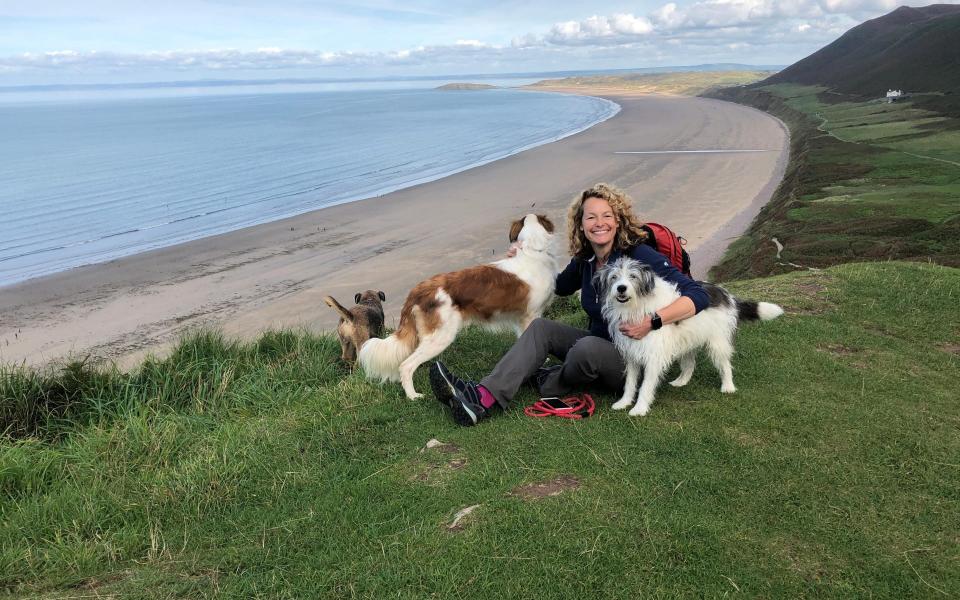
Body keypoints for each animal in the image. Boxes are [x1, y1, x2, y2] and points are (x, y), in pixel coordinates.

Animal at [360, 213, 560, 400]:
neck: (533, 251)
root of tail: (419, 289)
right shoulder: (531, 316)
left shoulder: (521, 319)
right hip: (440, 337)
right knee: (406, 365)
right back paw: (413, 396)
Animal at [596, 258, 784, 418]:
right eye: (614, 277)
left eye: (633, 276)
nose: (621, 288)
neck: (636, 306)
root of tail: (726, 294)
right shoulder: (632, 353)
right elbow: (630, 382)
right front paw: (624, 402)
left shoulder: (653, 355)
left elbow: (646, 385)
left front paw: (640, 408)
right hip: (687, 340)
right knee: (689, 364)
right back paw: (681, 382)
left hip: (717, 341)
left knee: (725, 364)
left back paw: (728, 386)